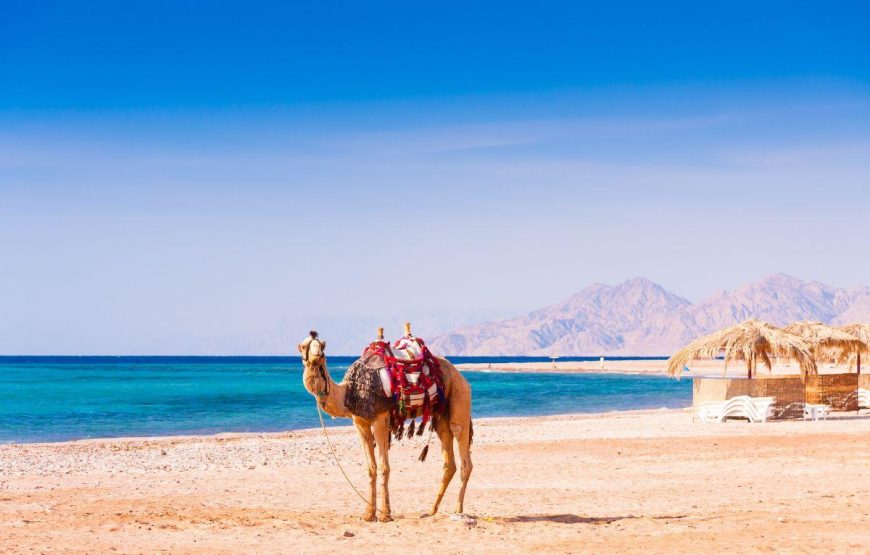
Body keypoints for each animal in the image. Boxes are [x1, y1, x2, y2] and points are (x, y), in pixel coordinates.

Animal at [299, 329, 473, 522]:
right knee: (449, 459)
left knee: (461, 443)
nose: (317, 354)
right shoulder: (360, 422)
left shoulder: (380, 419)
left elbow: (384, 467)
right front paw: (368, 514)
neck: (349, 392)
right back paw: (431, 510)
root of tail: (459, 374)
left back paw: (458, 510)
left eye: (321, 346)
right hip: (441, 414)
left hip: (459, 395)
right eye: (305, 346)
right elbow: (370, 468)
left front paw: (385, 514)